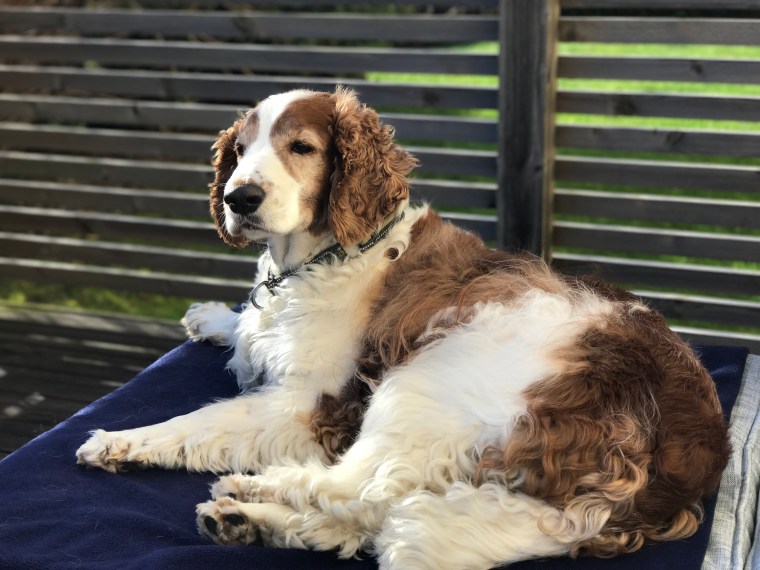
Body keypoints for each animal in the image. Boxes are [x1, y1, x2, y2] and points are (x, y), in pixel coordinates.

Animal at [76, 88, 730, 570]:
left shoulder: (311, 403)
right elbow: (240, 335)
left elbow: (198, 422)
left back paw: (254, 493)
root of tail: (671, 466)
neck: (326, 255)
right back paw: (245, 522)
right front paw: (214, 317)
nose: (239, 197)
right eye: (238, 149)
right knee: (369, 517)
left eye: (302, 147)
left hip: (426, 381)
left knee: (358, 492)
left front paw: (120, 440)